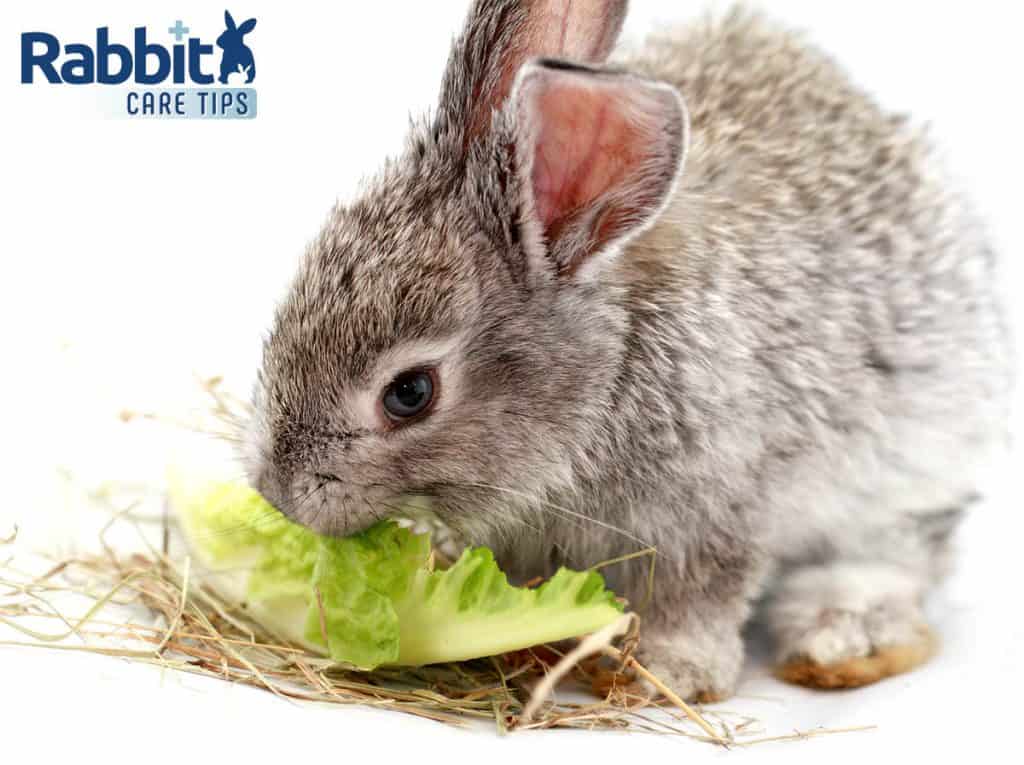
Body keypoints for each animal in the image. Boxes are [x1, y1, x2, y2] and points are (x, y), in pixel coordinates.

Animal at [241, 0, 1015, 704]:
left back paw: (841, 637)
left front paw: (671, 672)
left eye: (410, 393)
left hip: (908, 471)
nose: (279, 493)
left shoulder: (713, 512)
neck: (605, 378)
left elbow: (700, 598)